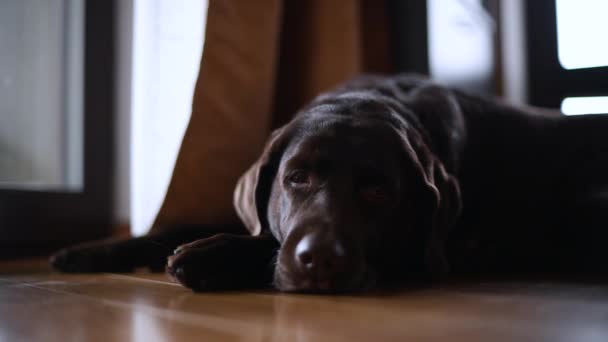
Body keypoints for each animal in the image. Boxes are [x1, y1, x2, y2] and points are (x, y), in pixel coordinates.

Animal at [51, 75, 608, 294]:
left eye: (379, 191)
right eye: (296, 177)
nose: (319, 259)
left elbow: (266, 245)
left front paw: (210, 255)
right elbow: (184, 227)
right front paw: (89, 251)